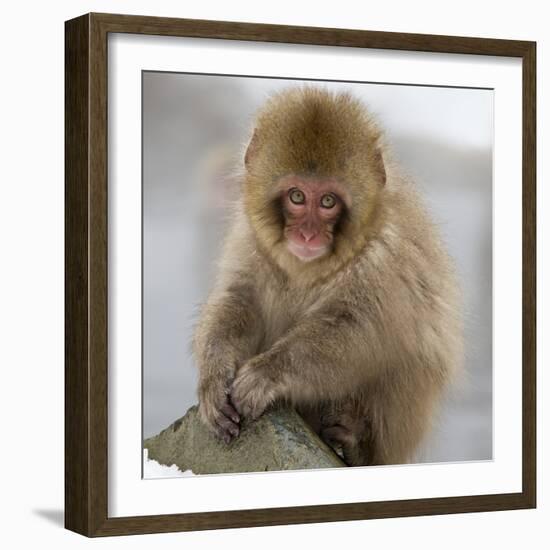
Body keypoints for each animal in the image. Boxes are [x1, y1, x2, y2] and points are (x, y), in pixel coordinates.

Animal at [192, 86, 464, 466]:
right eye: (296, 196)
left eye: (328, 202)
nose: (308, 235)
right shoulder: (251, 239)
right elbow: (240, 298)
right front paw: (215, 375)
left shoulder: (384, 257)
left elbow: (358, 330)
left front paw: (267, 373)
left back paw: (355, 442)